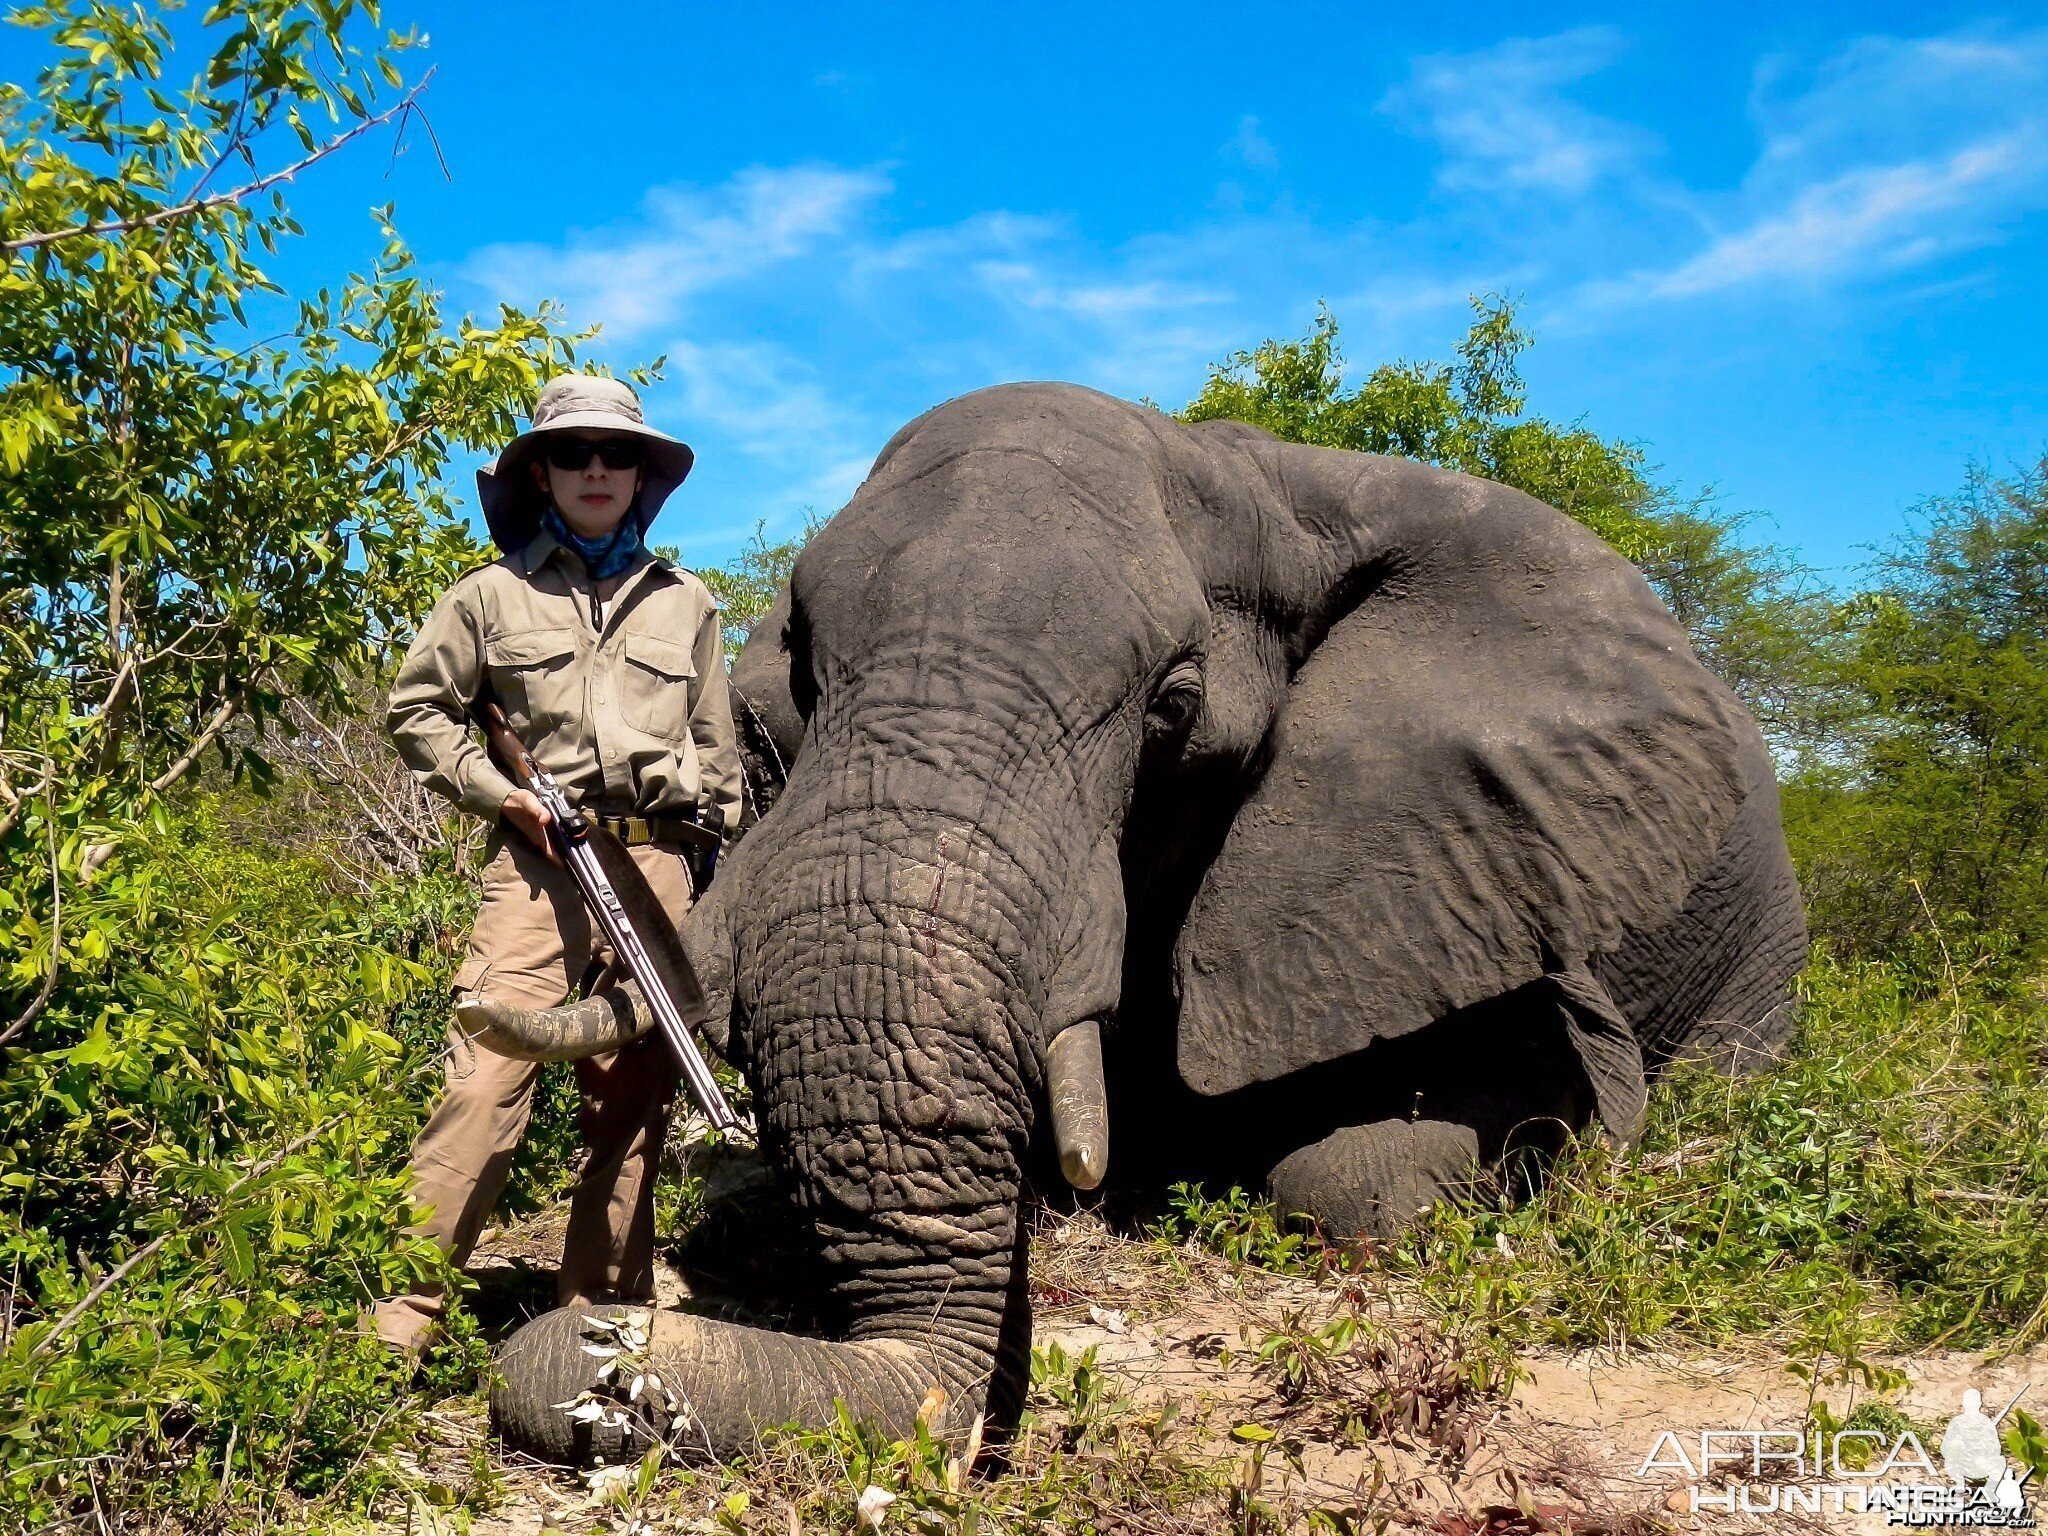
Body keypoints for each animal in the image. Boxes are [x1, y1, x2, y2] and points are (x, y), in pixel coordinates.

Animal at [468, 382, 1810, 1466]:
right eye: (799, 675)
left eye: (1173, 707)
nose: (600, 1359)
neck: (1255, 482)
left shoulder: (1458, 857)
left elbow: (1383, 1161)